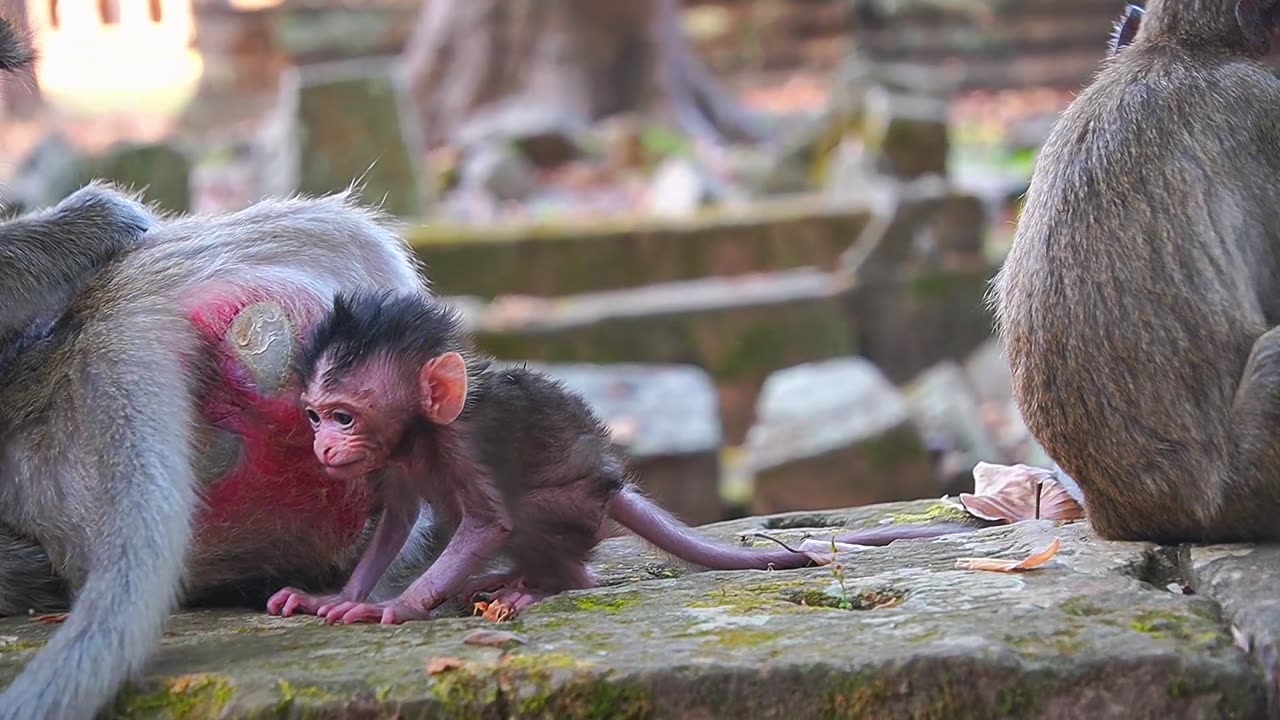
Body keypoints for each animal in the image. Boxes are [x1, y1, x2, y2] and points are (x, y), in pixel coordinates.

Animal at [270, 292, 829, 622]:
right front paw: (338, 598)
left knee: (535, 523)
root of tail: (610, 486)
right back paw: (506, 578)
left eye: (344, 418)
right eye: (314, 416)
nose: (322, 446)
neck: (420, 437)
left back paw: (544, 587)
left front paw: (396, 607)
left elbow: (489, 522)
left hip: (576, 508)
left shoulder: (464, 442)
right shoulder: (394, 459)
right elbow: (399, 519)